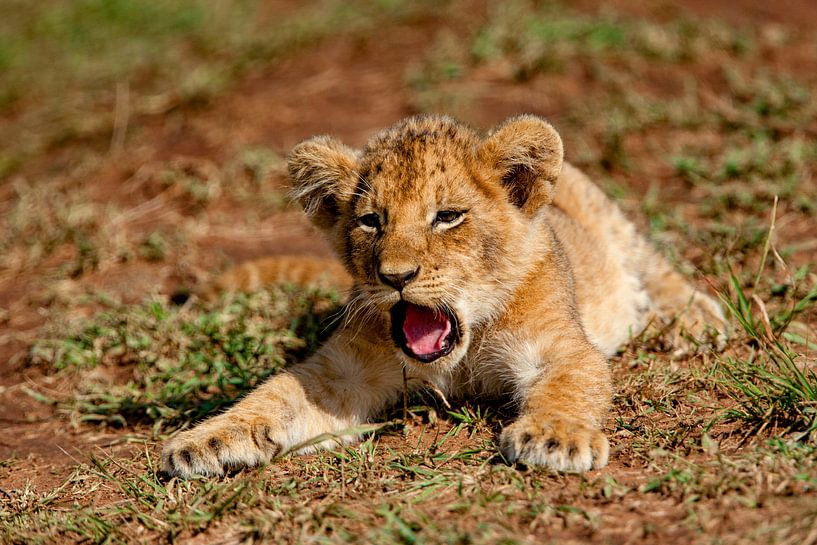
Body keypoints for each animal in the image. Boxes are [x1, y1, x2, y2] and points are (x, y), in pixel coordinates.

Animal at [162, 115, 726, 477]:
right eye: (371, 221)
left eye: (447, 216)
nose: (395, 276)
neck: (466, 350)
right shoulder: (342, 372)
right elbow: (276, 395)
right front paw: (203, 441)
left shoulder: (559, 344)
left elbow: (571, 384)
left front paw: (554, 438)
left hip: (606, 215)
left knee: (651, 264)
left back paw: (695, 319)